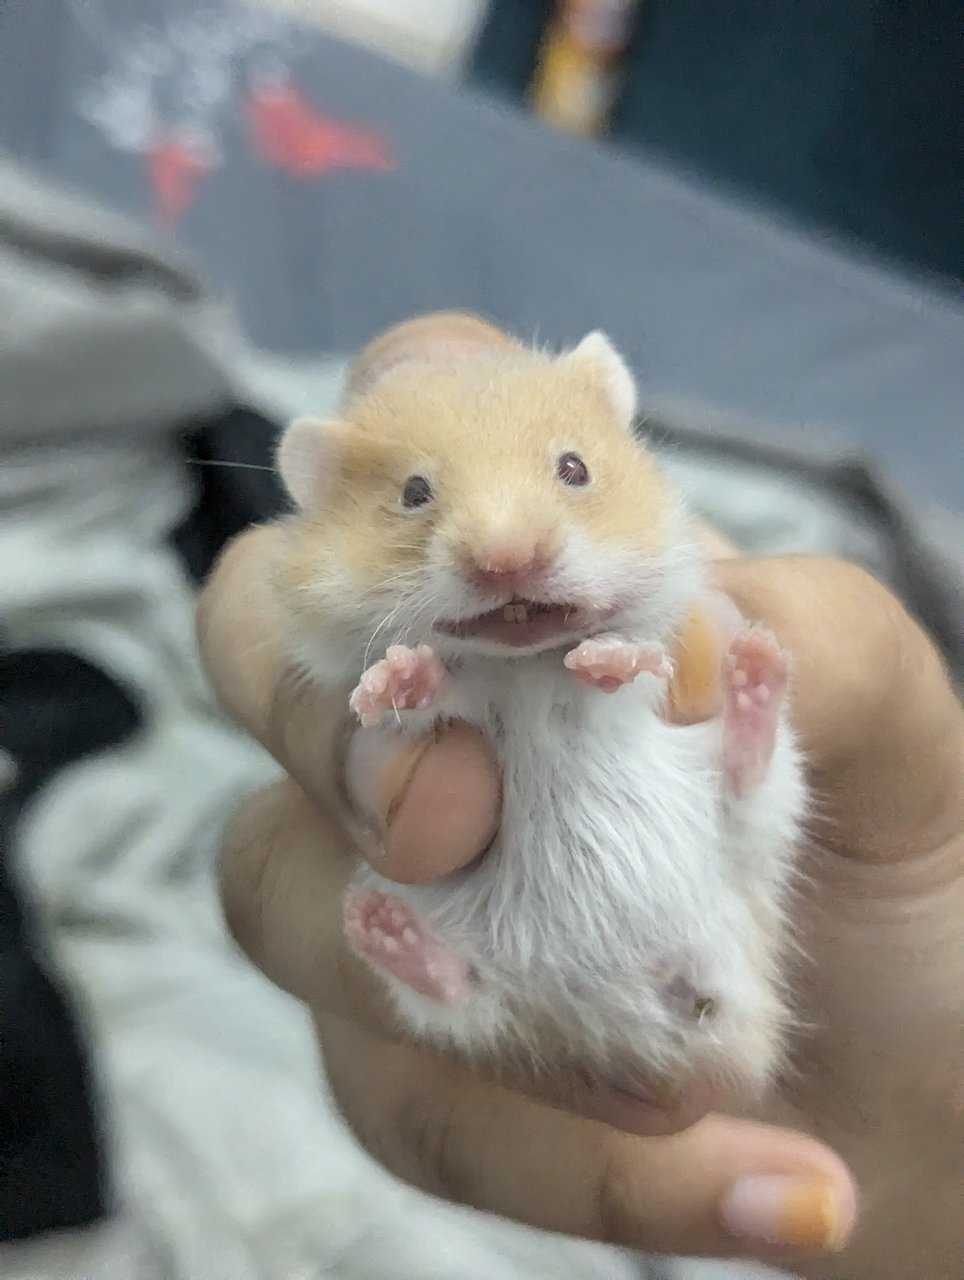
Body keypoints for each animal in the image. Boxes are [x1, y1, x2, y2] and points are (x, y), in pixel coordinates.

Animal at [273, 312, 809, 1121]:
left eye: (574, 469)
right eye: (414, 492)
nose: (508, 560)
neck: (521, 661)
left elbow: (626, 662)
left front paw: (606, 660)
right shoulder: (403, 695)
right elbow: (420, 700)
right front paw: (398, 678)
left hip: (758, 827)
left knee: (751, 776)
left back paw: (754, 669)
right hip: (462, 989)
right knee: (454, 992)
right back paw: (381, 930)